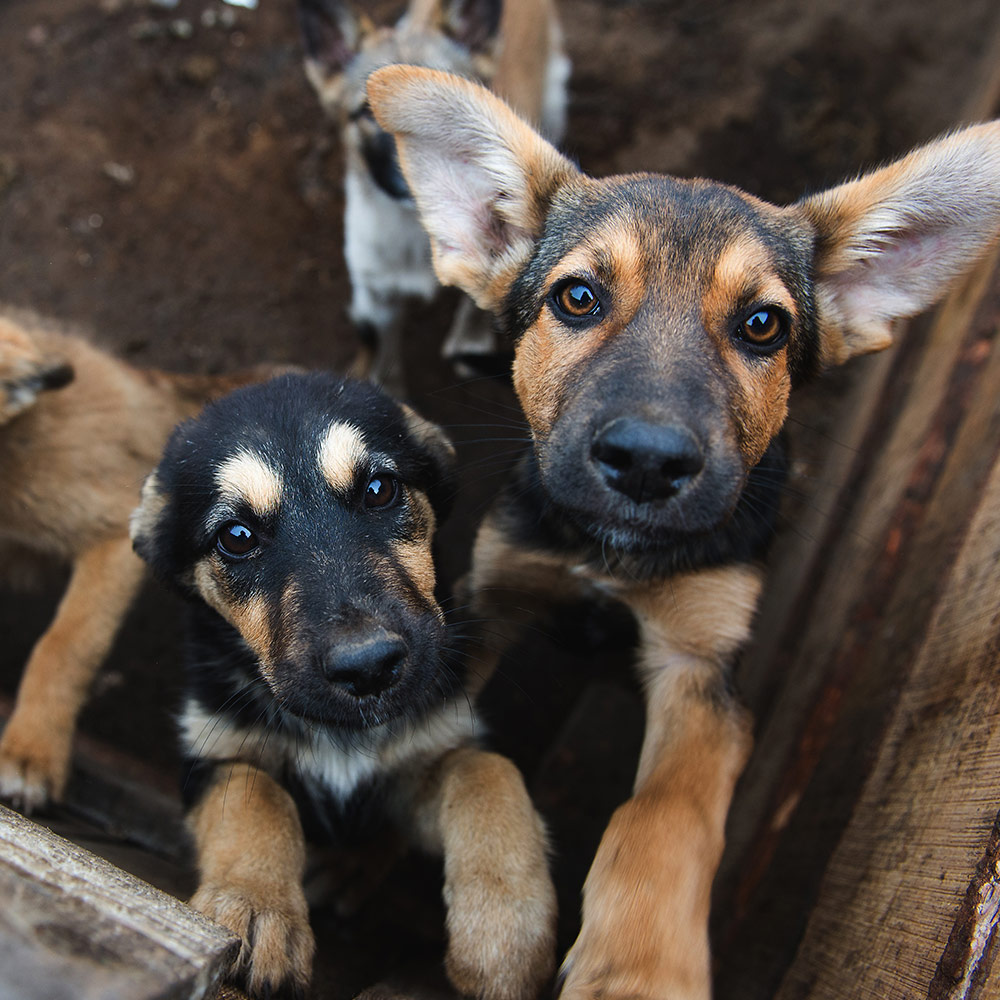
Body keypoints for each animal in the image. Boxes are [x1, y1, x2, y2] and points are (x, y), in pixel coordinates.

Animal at [130, 374, 560, 1000]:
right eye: (236, 536)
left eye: (379, 490)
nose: (368, 667)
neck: (343, 733)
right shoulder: (213, 755)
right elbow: (258, 797)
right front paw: (255, 908)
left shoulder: (423, 757)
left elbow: (486, 771)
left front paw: (507, 932)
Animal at [364, 68, 1000, 1000]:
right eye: (577, 297)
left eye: (764, 325)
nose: (647, 461)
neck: (612, 558)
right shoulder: (496, 592)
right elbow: (460, 744)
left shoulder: (701, 664)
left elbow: (661, 812)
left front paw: (638, 965)